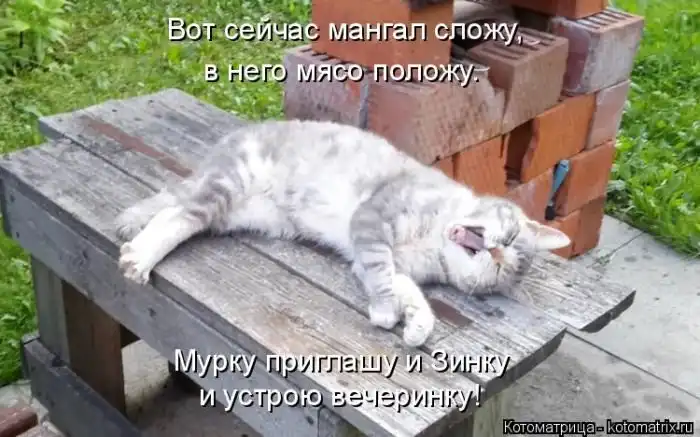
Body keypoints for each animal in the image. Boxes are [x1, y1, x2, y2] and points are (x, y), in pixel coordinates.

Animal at [115, 119, 570, 347]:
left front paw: (417, 326)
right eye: (508, 239)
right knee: (176, 214)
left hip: (236, 212)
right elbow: (384, 278)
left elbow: (410, 293)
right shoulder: (373, 222)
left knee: (176, 212)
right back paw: (140, 257)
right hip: (228, 185)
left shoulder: (385, 262)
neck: (436, 237)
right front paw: (386, 312)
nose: (495, 252)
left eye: (502, 269)